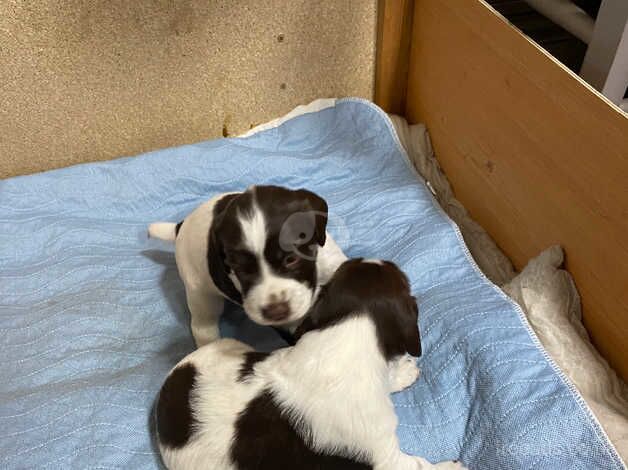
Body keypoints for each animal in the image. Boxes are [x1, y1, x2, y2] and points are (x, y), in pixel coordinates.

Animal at [149, 186, 348, 346]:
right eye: (240, 268)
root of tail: (181, 226)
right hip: (199, 293)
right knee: (202, 326)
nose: (276, 311)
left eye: (291, 259)